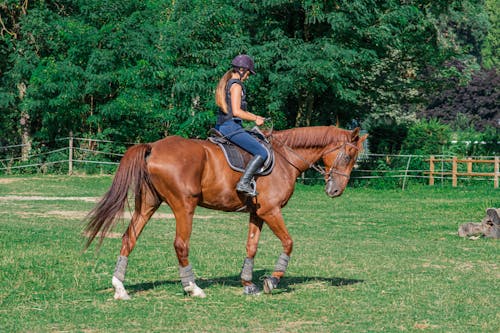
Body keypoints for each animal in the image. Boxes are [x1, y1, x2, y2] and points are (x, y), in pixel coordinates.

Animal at [84, 124, 368, 298]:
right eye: (348, 156)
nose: (336, 190)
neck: (284, 158)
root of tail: (153, 146)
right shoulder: (271, 211)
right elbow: (288, 243)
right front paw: (272, 281)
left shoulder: (257, 214)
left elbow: (251, 246)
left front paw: (248, 283)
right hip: (184, 206)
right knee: (180, 245)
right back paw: (193, 287)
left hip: (148, 204)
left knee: (129, 237)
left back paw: (120, 288)